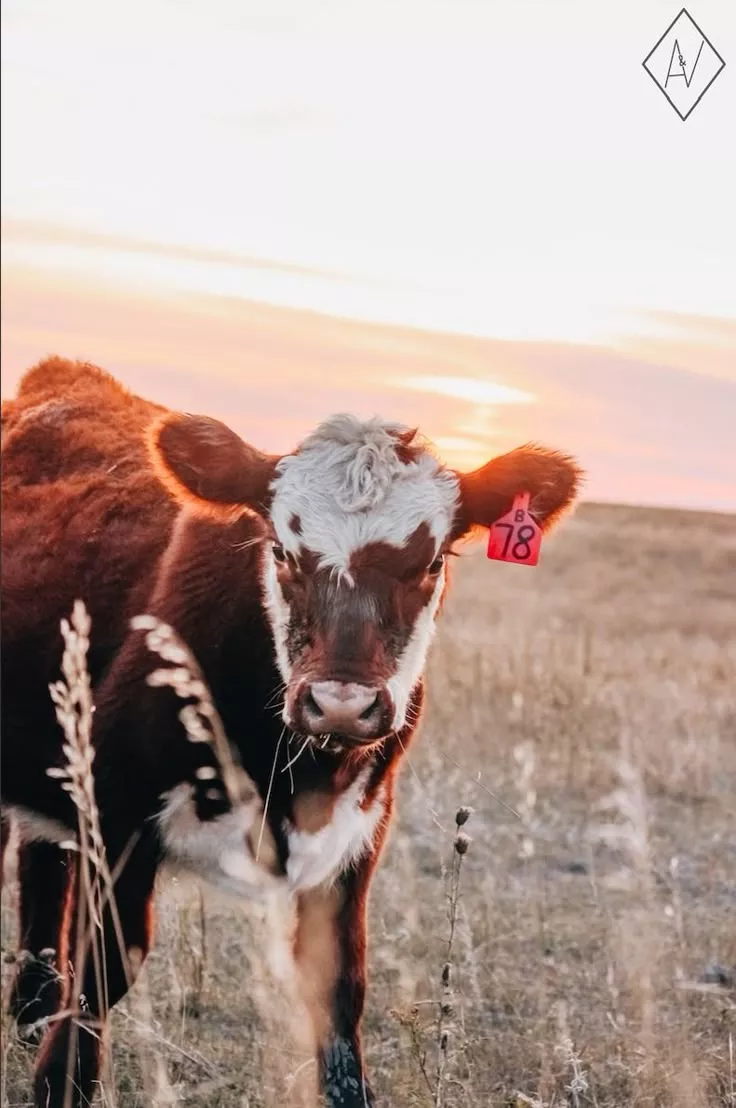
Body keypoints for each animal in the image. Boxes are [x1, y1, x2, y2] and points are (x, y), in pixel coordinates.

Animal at [0, 357, 582, 1107]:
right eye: (281, 550)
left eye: (432, 562)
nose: (340, 704)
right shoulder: (117, 814)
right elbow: (101, 973)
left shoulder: (356, 841)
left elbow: (339, 997)